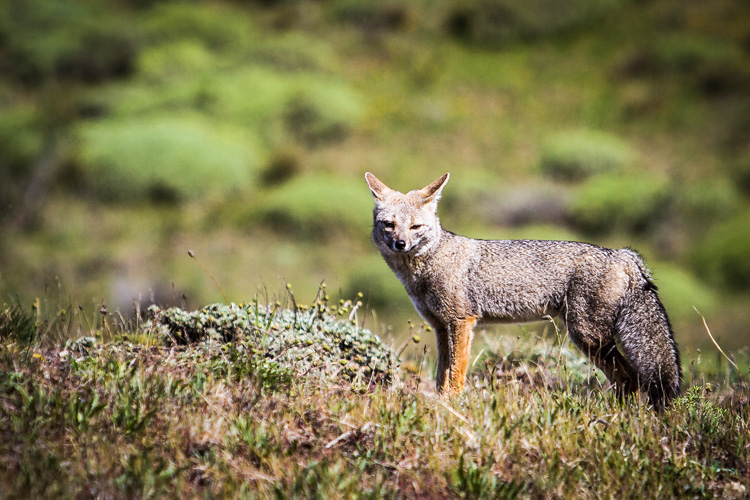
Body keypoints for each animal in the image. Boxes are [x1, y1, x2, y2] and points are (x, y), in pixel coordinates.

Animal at [368, 172, 684, 410]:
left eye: (415, 227)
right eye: (389, 225)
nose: (400, 244)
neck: (427, 266)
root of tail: (623, 254)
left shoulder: (461, 322)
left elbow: (455, 374)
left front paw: (452, 406)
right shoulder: (440, 327)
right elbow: (440, 375)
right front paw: (441, 403)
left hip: (587, 336)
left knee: (630, 378)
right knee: (627, 379)